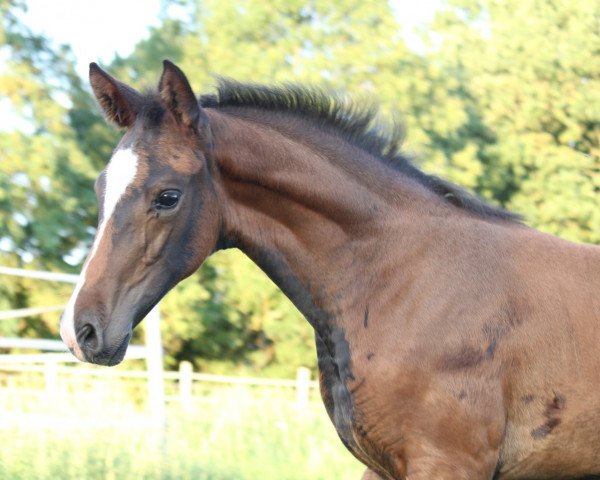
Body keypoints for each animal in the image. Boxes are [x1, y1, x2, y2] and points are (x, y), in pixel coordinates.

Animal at [59, 62, 600, 478]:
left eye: (167, 196)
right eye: (100, 187)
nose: (79, 330)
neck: (403, 278)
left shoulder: (449, 463)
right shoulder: (381, 465)